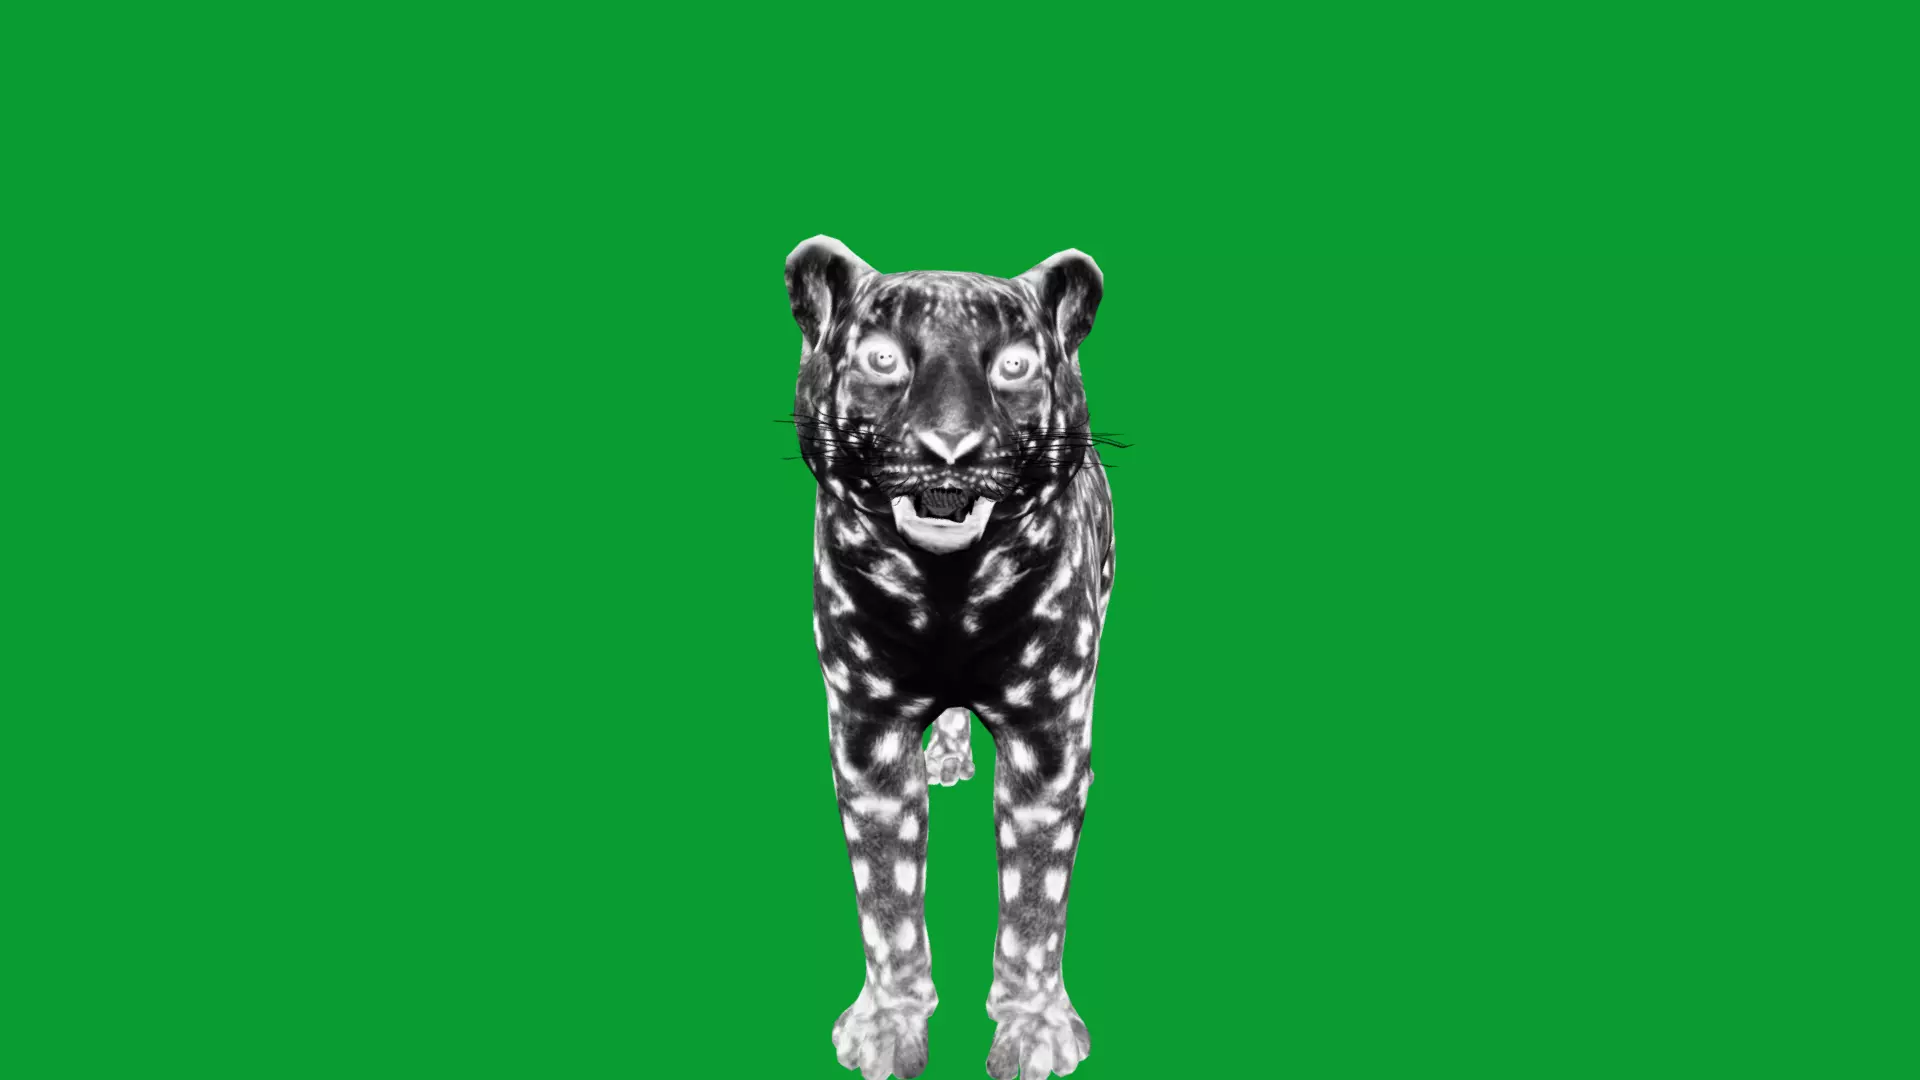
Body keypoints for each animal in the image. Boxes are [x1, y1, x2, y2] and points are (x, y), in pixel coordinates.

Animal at [785, 236, 1117, 1080]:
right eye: (882, 358)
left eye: (1015, 367)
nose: (951, 446)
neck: (948, 598)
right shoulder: (867, 730)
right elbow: (886, 893)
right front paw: (888, 1025)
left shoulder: (1048, 736)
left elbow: (1035, 897)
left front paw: (1034, 1030)